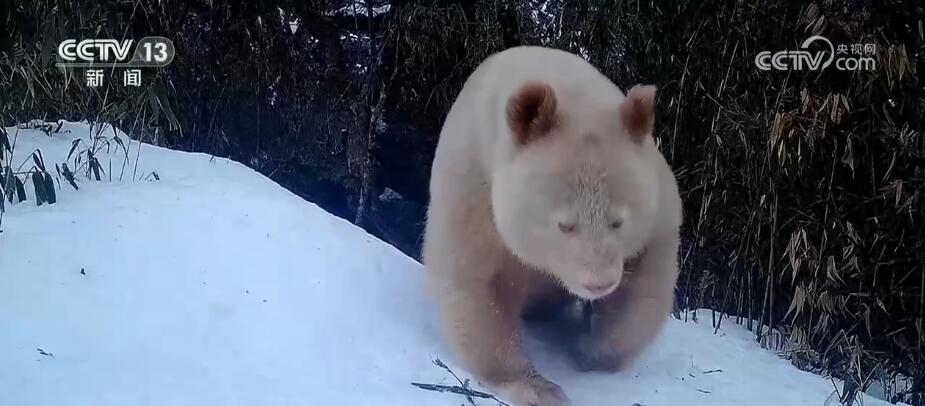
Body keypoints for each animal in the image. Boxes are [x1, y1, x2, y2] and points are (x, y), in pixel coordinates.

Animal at [422, 46, 682, 406]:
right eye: (564, 225)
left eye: (617, 221)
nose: (599, 284)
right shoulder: (474, 183)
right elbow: (476, 281)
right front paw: (537, 387)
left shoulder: (656, 203)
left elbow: (644, 283)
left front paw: (592, 353)